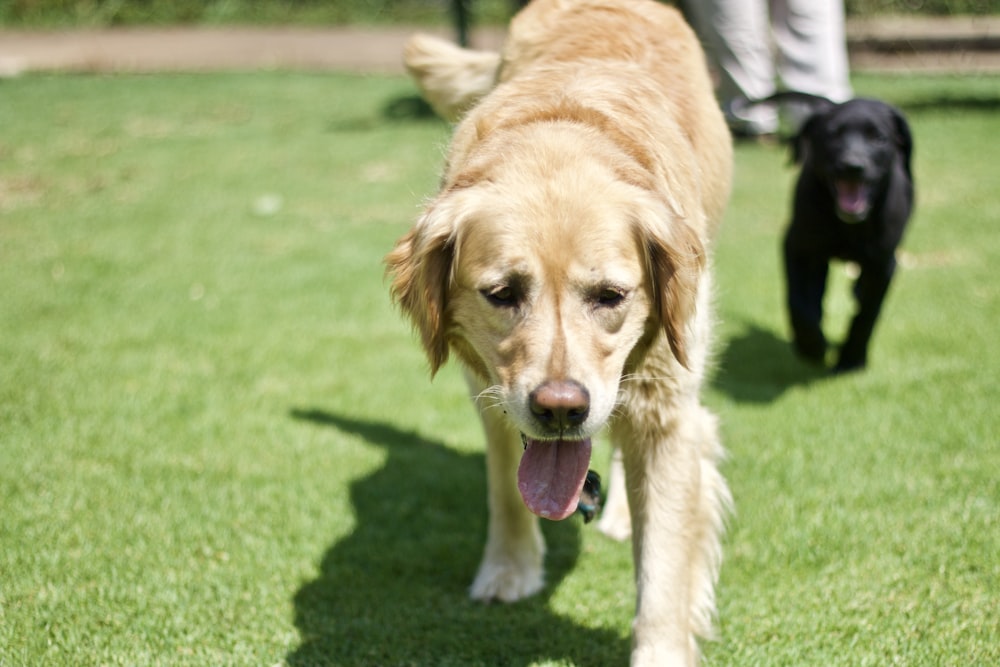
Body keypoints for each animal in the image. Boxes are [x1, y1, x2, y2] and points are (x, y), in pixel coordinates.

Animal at [780, 97, 916, 374]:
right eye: (833, 136)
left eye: (878, 138)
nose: (853, 166)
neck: (849, 226)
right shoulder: (796, 246)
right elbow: (798, 302)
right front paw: (812, 345)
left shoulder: (883, 263)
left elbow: (867, 314)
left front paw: (852, 359)